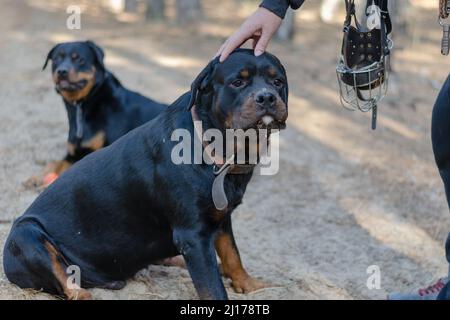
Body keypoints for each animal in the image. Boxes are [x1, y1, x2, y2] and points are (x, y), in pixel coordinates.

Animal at [35, 40, 165, 185]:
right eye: (57, 59)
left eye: (79, 59)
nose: (62, 71)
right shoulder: (72, 155)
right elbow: (55, 163)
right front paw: (37, 177)